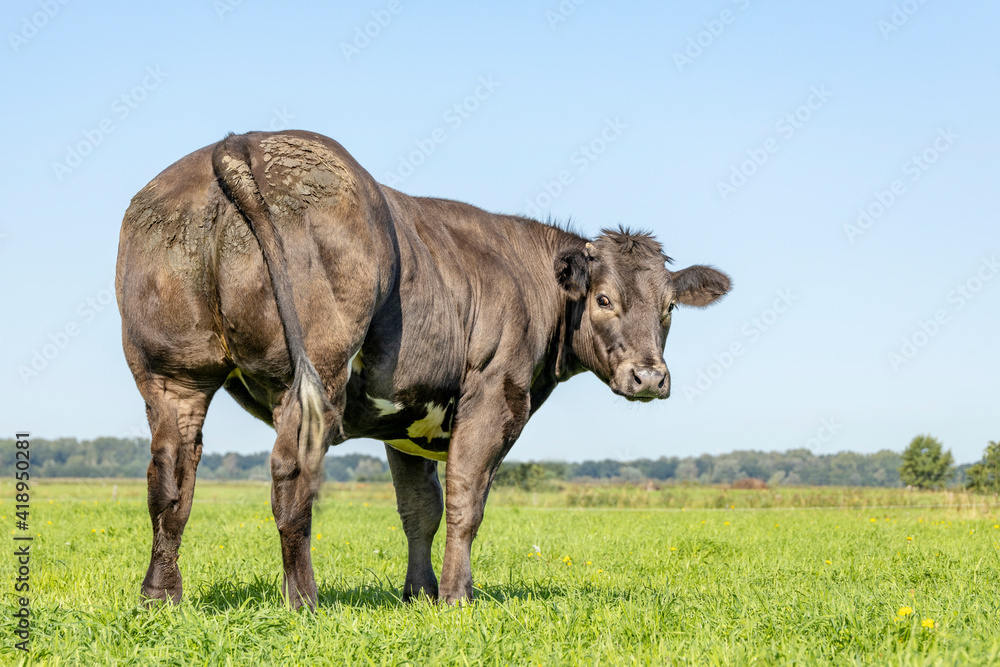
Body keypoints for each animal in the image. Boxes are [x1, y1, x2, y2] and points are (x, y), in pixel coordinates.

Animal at [116, 130, 731, 609]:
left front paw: (420, 593)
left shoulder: (406, 420)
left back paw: (159, 595)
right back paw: (304, 600)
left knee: (169, 480)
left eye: (669, 307)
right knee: (291, 475)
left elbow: (420, 510)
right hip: (313, 373)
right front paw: (458, 596)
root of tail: (243, 140)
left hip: (172, 376)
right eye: (604, 299)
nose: (649, 378)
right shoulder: (493, 398)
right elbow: (464, 501)